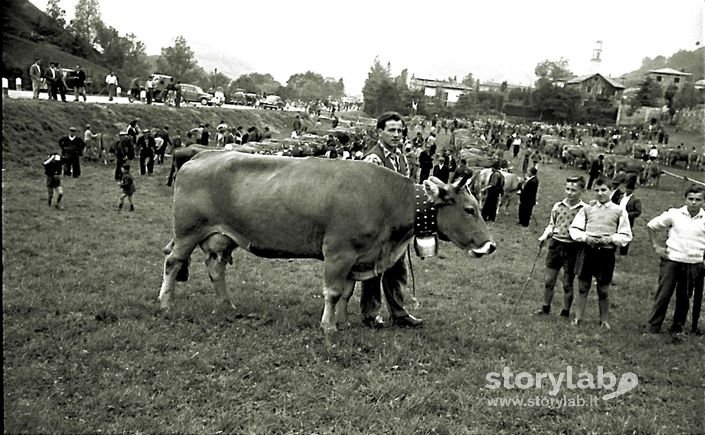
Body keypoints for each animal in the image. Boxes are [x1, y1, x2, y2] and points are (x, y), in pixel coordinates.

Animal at [160, 152, 496, 332]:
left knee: (216, 268)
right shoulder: (338, 252)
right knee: (173, 262)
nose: (490, 246)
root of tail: (201, 155)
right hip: (188, 231)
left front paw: (343, 322)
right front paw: (329, 327)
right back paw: (165, 302)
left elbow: (346, 292)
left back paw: (227, 304)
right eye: (470, 209)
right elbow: (333, 292)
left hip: (222, 237)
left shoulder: (357, 257)